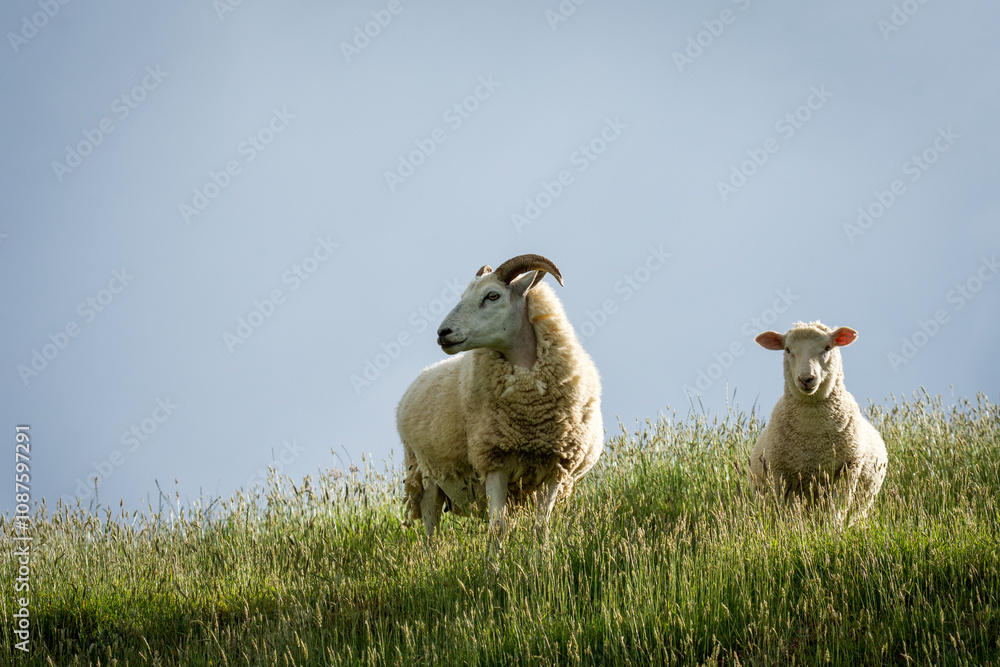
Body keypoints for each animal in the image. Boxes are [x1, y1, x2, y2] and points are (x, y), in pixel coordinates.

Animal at [396, 254, 603, 543]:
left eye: (492, 295)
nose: (443, 333)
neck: (531, 415)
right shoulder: (494, 460)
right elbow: (497, 527)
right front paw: (495, 557)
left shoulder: (557, 466)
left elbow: (541, 528)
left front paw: (542, 556)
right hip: (425, 475)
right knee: (431, 530)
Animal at [748, 321, 888, 526]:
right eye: (788, 349)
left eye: (827, 347)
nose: (806, 379)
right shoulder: (782, 475)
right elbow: (790, 515)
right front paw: (796, 531)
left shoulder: (847, 470)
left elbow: (835, 511)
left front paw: (832, 530)